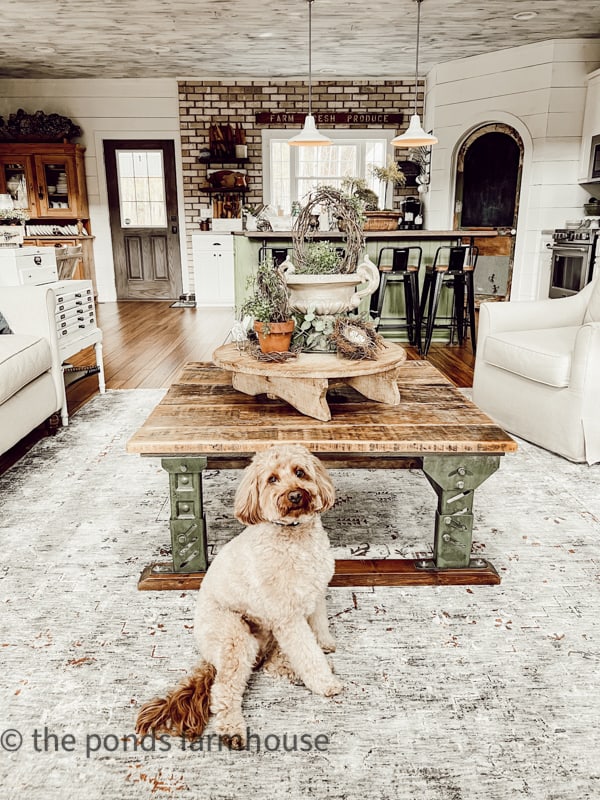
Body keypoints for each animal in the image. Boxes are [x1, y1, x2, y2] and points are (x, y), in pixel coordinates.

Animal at [137, 444, 342, 752]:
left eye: (300, 472)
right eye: (272, 479)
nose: (295, 495)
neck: (293, 535)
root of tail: (209, 658)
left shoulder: (315, 595)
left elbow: (318, 627)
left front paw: (325, 645)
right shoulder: (288, 618)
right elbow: (307, 653)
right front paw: (325, 682)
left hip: (265, 634)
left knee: (269, 665)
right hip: (236, 638)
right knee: (224, 689)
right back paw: (232, 731)